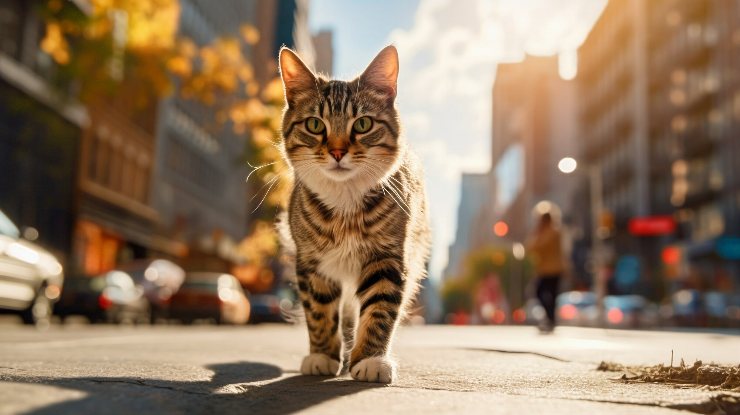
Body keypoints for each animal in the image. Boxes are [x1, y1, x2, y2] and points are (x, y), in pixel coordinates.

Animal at [276, 44, 428, 384]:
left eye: (362, 124)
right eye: (315, 125)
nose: (337, 152)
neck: (344, 203)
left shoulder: (387, 258)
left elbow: (379, 310)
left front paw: (371, 359)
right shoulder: (313, 264)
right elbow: (319, 313)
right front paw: (323, 355)